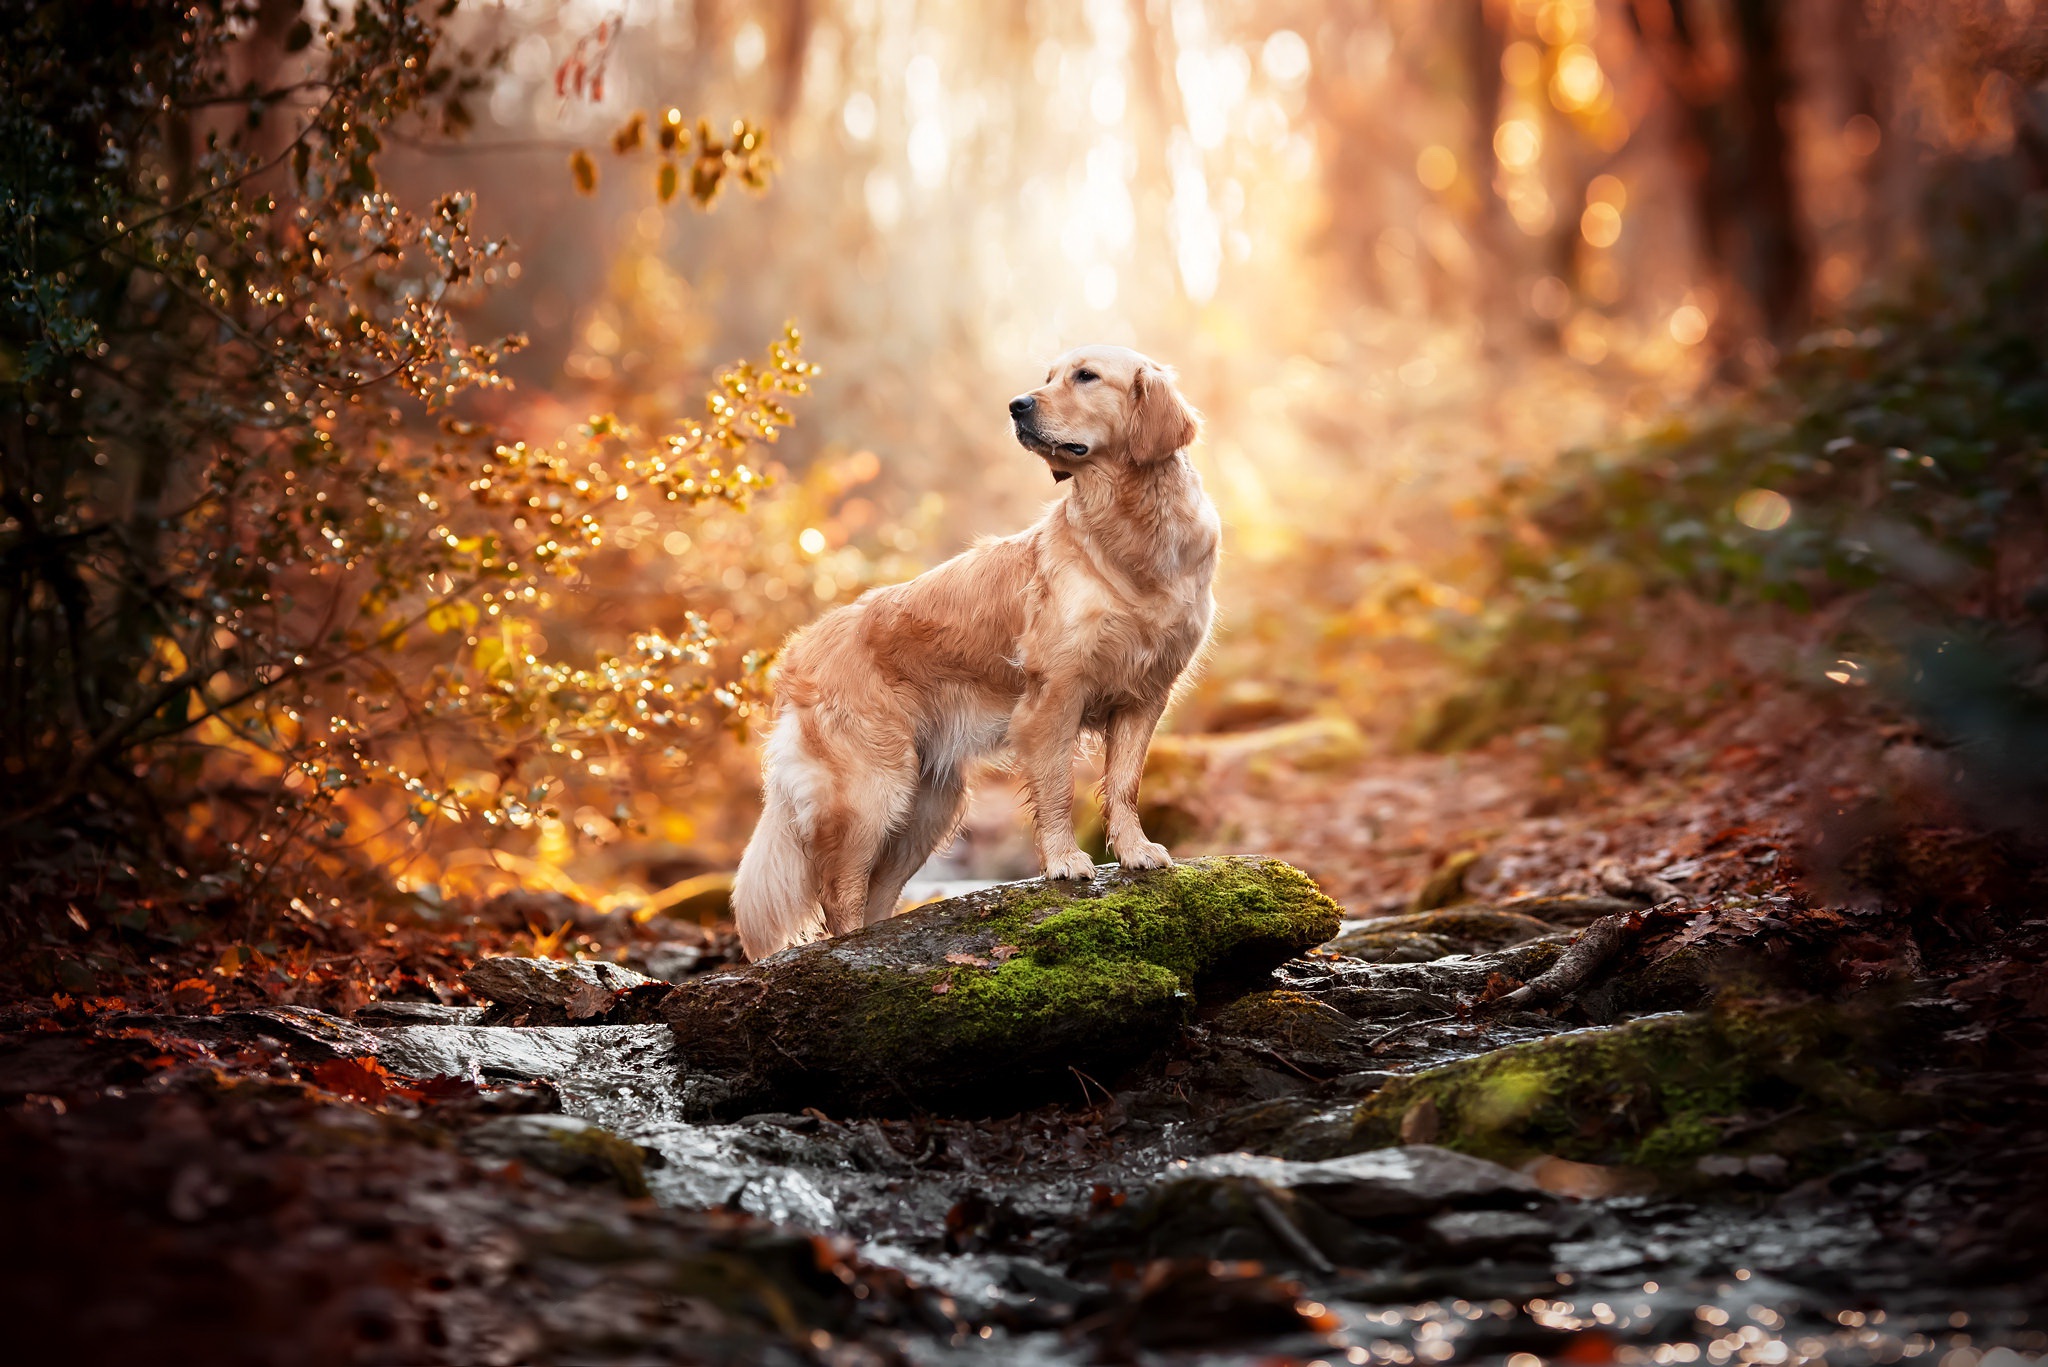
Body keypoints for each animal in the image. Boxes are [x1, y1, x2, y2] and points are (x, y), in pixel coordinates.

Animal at [737, 344, 1212, 963]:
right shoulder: (1054, 694)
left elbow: (1125, 784)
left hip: (925, 807)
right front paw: (1065, 861)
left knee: (875, 892)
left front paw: (1135, 851)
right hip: (870, 792)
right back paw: (851, 953)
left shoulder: (1146, 694)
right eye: (1047, 378)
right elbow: (1058, 789)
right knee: (839, 893)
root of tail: (795, 653)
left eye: (1086, 377)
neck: (1131, 535)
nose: (1017, 405)